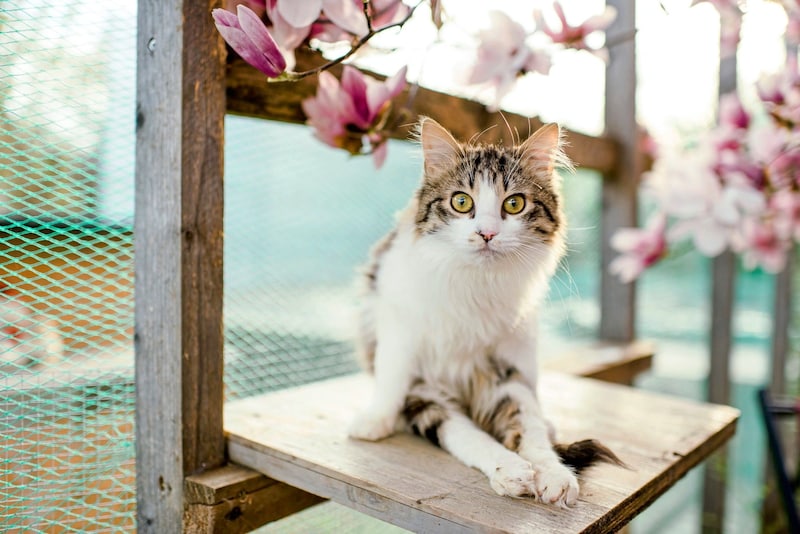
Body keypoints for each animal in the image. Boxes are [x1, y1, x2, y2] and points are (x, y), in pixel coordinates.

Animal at [348, 118, 620, 510]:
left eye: (515, 203)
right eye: (462, 202)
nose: (487, 233)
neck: (475, 284)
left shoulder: (504, 369)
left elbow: (529, 428)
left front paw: (554, 474)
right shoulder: (411, 353)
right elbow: (460, 431)